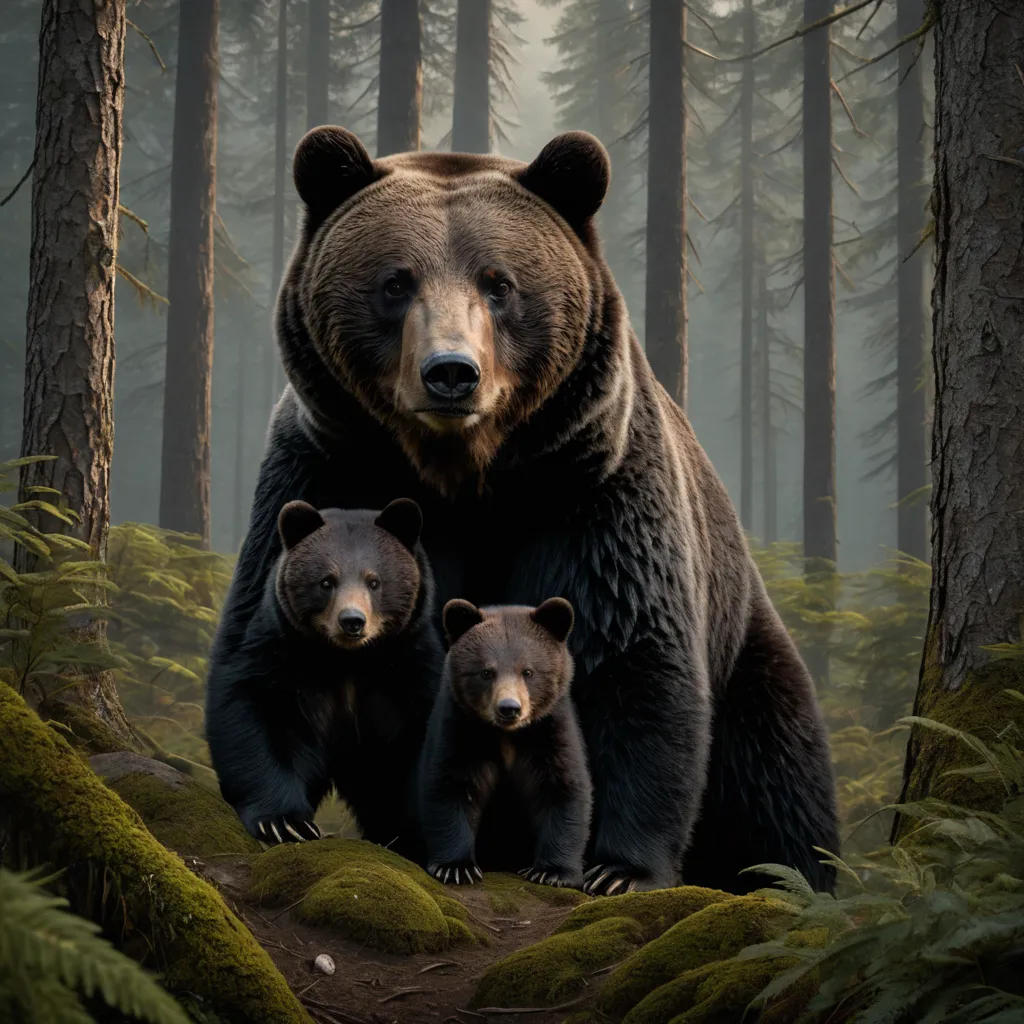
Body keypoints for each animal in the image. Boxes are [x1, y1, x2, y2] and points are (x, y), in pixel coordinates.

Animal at [205, 496, 443, 857]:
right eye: (327, 581)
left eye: (374, 581)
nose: (352, 621)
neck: (346, 660)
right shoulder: (280, 656)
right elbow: (256, 714)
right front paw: (287, 823)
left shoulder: (408, 671)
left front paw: (412, 838)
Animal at [419, 597, 592, 888]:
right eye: (486, 672)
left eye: (528, 671)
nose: (509, 708)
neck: (508, 735)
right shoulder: (459, 729)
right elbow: (451, 786)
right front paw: (456, 868)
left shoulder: (551, 731)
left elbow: (563, 789)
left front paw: (552, 872)